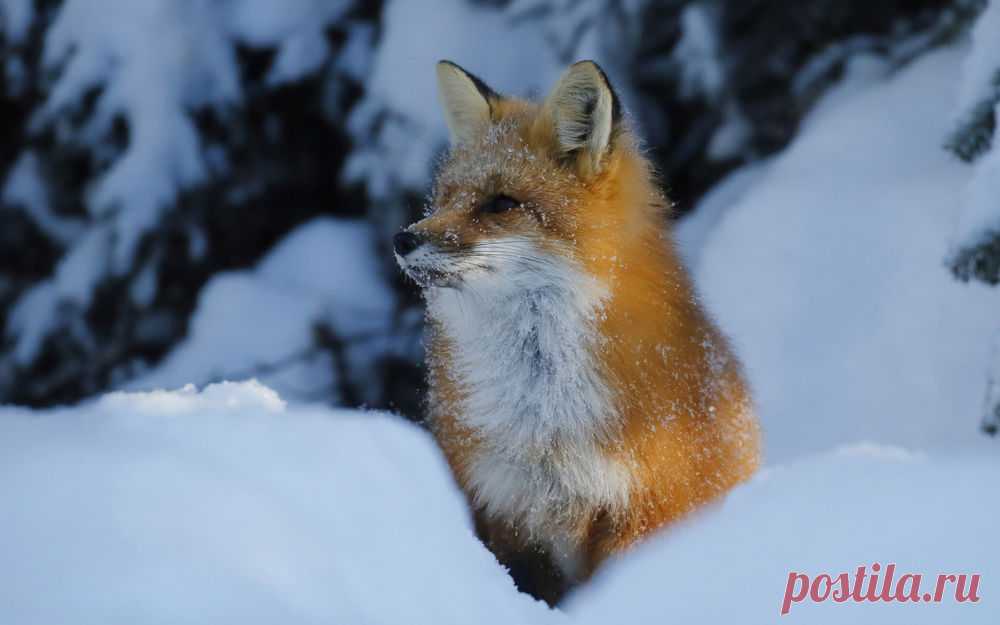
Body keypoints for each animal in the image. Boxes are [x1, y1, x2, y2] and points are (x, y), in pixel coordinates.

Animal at [394, 61, 760, 604]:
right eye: (444, 198)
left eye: (501, 203)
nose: (402, 239)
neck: (544, 419)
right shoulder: (505, 507)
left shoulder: (643, 507)